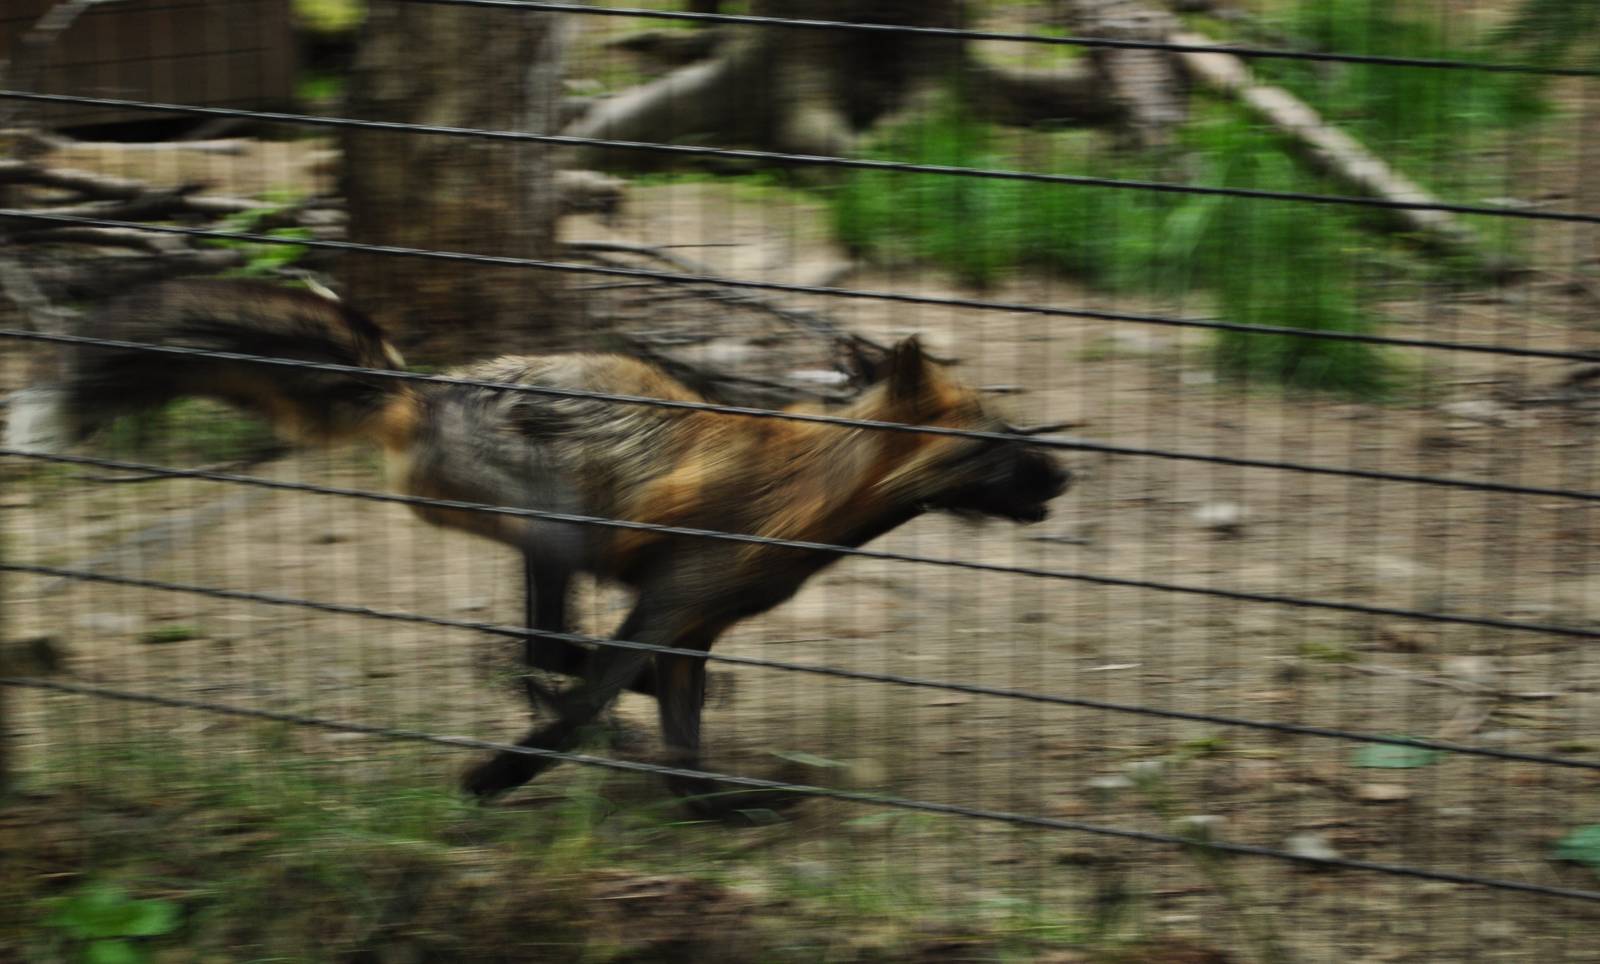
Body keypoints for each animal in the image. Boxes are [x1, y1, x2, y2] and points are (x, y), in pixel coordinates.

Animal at [3, 278, 1070, 814]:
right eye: (1001, 444)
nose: (1067, 477)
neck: (808, 487)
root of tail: (421, 386)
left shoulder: (690, 629)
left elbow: (682, 755)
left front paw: (716, 802)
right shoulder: (671, 606)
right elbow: (585, 713)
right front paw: (499, 777)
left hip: (548, 546)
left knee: (542, 647)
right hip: (557, 529)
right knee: (546, 647)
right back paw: (559, 710)